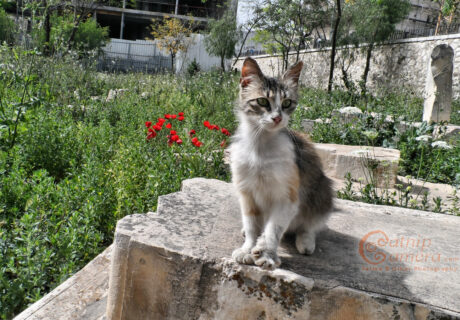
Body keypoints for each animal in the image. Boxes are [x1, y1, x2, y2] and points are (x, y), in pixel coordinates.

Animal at [232, 57, 332, 270]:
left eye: (287, 103)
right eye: (262, 101)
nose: (277, 118)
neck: (260, 148)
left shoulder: (288, 196)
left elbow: (273, 229)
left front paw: (267, 254)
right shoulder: (247, 193)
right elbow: (252, 226)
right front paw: (247, 249)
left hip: (322, 192)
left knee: (311, 225)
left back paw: (306, 242)